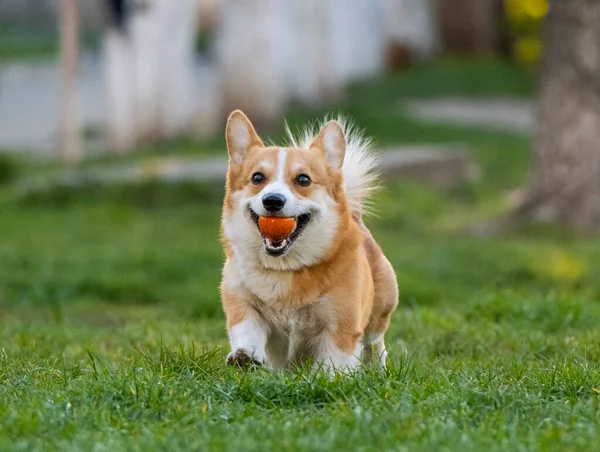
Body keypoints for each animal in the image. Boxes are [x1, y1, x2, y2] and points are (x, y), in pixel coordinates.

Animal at [220, 109, 398, 370]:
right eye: (257, 178)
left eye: (303, 179)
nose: (272, 200)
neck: (284, 269)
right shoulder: (240, 299)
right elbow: (247, 326)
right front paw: (246, 354)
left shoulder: (340, 325)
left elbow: (335, 363)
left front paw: (327, 376)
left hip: (380, 310)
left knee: (374, 343)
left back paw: (378, 368)